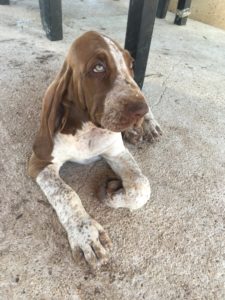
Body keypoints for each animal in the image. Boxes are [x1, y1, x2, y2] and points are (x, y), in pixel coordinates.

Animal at [28, 31, 162, 268]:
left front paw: (112, 194)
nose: (140, 109)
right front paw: (86, 235)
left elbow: (141, 185)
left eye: (131, 64)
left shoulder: (116, 152)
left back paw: (147, 126)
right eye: (98, 67)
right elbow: (66, 193)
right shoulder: (40, 163)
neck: (88, 129)